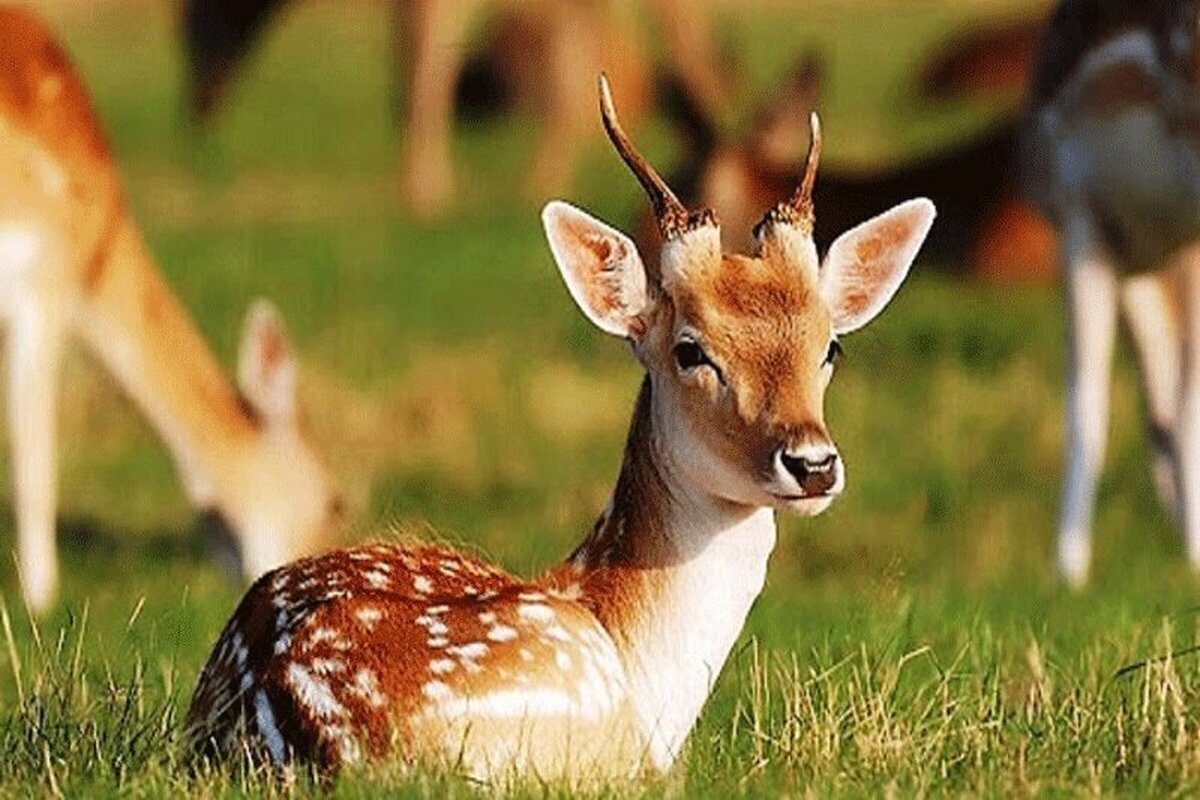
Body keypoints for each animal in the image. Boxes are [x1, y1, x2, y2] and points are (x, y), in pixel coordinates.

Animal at [0, 6, 345, 614]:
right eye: (334, 501)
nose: (317, 570)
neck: (98, 251)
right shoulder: (44, 282)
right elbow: (35, 452)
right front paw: (40, 600)